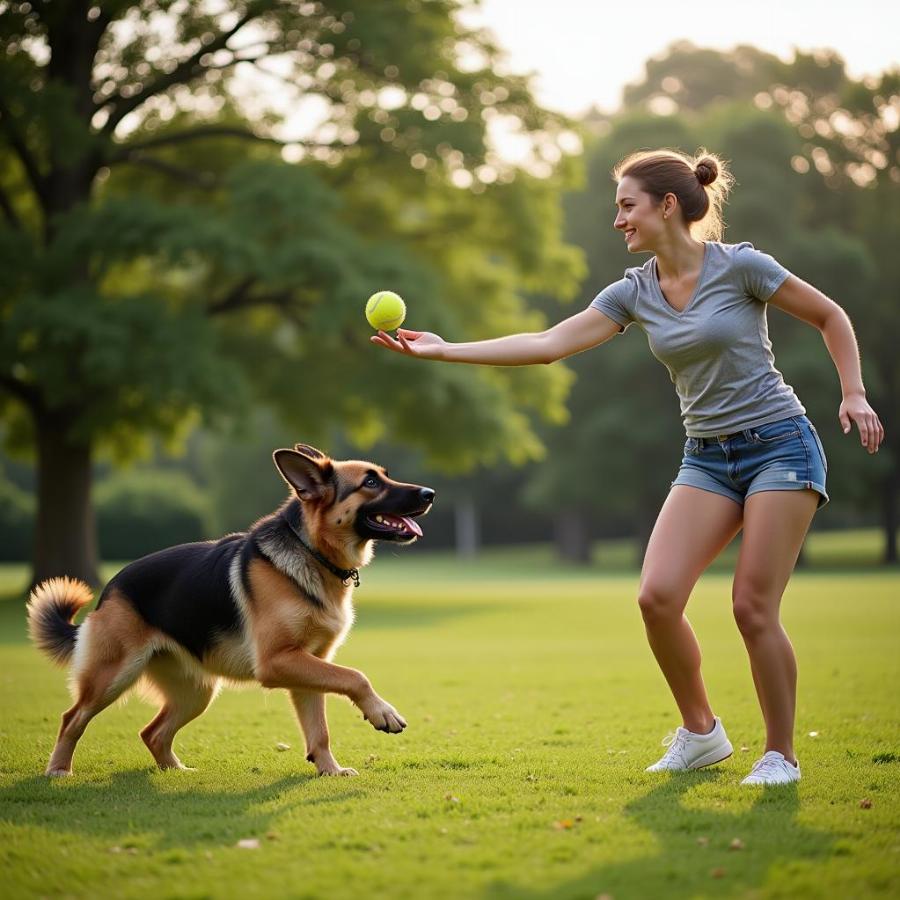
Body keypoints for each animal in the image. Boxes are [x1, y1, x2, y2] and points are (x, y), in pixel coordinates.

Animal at [28, 446, 436, 776]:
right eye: (370, 481)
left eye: (382, 475)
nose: (430, 493)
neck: (310, 551)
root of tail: (110, 590)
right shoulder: (278, 661)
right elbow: (355, 676)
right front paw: (382, 713)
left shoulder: (309, 664)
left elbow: (319, 730)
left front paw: (329, 771)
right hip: (111, 677)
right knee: (71, 719)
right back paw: (59, 770)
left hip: (197, 692)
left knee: (152, 732)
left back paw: (175, 772)